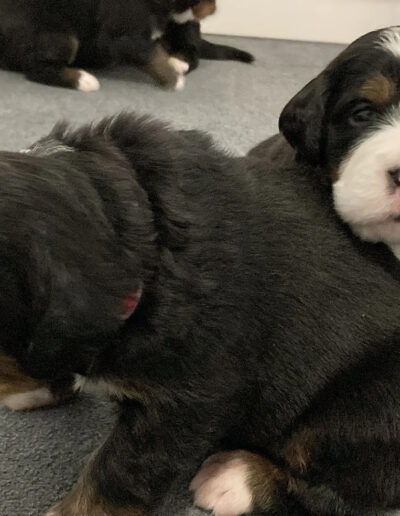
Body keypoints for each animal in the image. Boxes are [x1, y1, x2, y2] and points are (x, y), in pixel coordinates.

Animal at [0, 0, 253, 91]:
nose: (214, 8)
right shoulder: (124, 37)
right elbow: (151, 54)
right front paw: (174, 79)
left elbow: (159, 49)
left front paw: (174, 66)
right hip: (61, 35)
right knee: (36, 68)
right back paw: (84, 80)